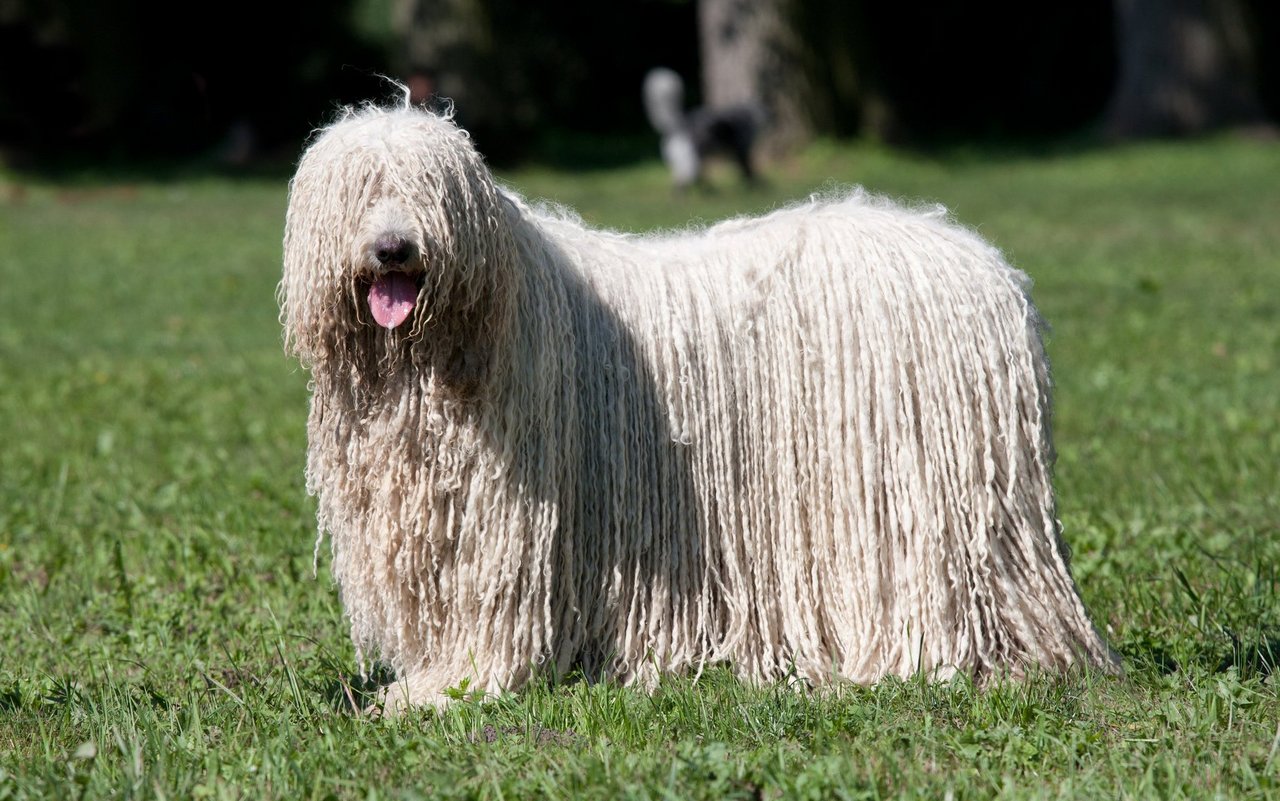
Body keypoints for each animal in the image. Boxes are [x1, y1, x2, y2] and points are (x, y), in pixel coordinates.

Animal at [280, 95, 1121, 711]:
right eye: (359, 188)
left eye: (431, 190)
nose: (394, 247)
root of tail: (991, 271)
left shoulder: (504, 525)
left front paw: (442, 690)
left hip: (923, 499)